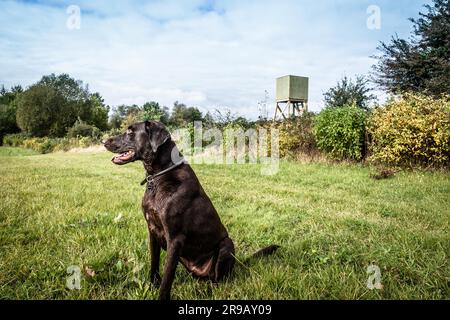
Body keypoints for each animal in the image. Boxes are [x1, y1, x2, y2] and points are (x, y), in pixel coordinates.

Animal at [104, 120, 278, 300]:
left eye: (130, 132)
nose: (104, 142)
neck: (158, 177)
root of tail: (238, 262)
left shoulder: (175, 239)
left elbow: (167, 277)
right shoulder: (152, 231)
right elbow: (154, 264)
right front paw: (152, 286)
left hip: (226, 245)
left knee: (219, 280)